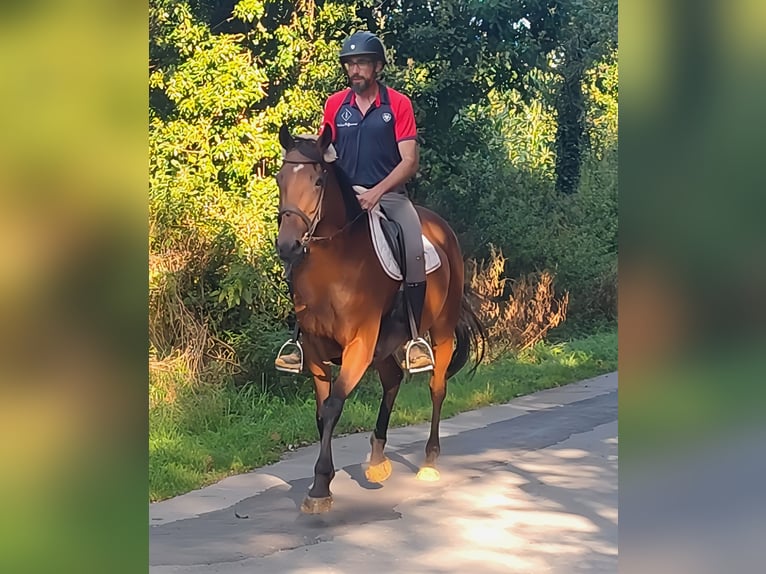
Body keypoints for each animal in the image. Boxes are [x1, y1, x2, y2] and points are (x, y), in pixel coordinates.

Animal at [276, 124, 486, 516]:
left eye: (317, 181)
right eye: (280, 178)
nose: (288, 246)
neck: (334, 264)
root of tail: (442, 227)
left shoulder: (359, 342)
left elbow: (333, 407)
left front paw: (320, 486)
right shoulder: (315, 349)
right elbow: (321, 412)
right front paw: (323, 481)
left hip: (441, 330)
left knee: (436, 387)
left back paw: (429, 462)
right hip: (385, 344)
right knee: (392, 378)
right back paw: (377, 460)